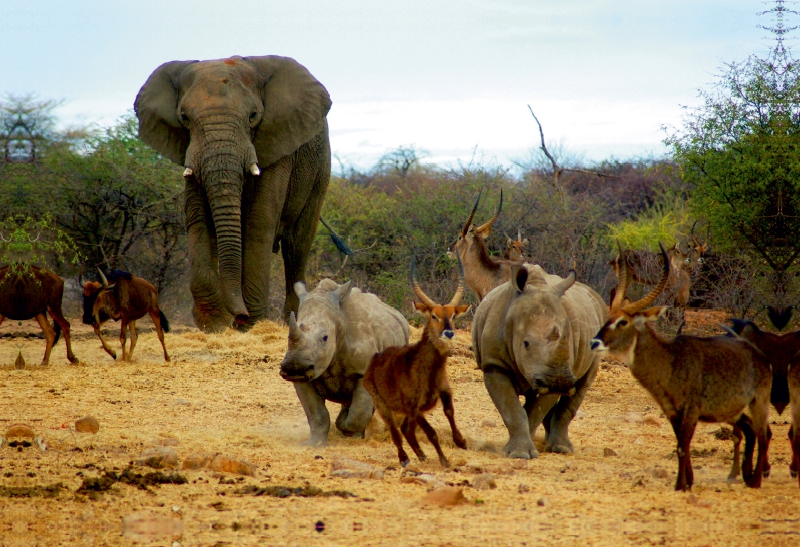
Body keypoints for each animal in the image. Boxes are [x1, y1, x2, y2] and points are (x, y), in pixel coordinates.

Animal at [134, 55, 332, 332]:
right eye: (184, 117)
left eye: (253, 116)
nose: (240, 316)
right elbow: (199, 220)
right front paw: (214, 324)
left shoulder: (276, 142)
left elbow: (259, 221)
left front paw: (251, 325)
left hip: (319, 172)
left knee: (296, 247)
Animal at [366, 254, 472, 466]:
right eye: (433, 315)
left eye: (453, 315)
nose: (449, 333)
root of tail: (374, 359)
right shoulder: (414, 407)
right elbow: (431, 433)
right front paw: (444, 460)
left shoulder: (444, 392)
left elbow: (450, 412)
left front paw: (461, 441)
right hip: (382, 405)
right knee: (396, 433)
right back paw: (405, 459)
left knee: (406, 429)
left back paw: (421, 456)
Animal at [592, 245, 772, 492]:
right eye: (608, 317)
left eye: (623, 322)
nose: (595, 343)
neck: (670, 359)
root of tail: (759, 355)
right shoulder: (672, 412)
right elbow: (681, 445)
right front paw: (687, 482)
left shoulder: (691, 411)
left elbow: (682, 446)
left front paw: (681, 486)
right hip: (732, 411)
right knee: (751, 430)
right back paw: (746, 475)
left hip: (758, 403)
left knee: (763, 435)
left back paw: (755, 480)